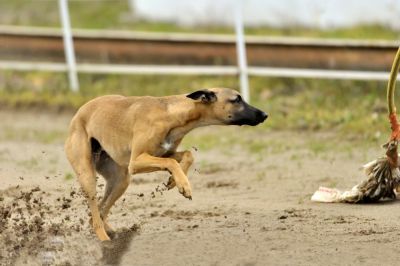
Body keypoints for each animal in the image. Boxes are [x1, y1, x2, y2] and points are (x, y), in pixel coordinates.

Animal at [65, 88, 266, 241]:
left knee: (98, 212)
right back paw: (104, 239)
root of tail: (77, 114)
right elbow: (170, 162)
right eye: (236, 99)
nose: (265, 114)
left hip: (120, 180)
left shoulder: (164, 152)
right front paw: (184, 185)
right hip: (89, 176)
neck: (171, 114)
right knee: (95, 213)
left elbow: (187, 156)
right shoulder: (136, 161)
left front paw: (174, 181)